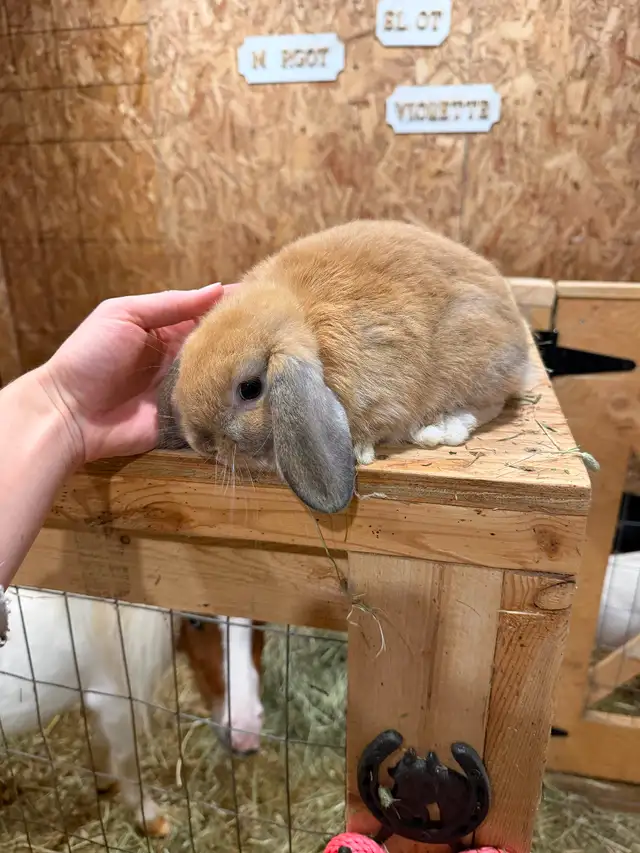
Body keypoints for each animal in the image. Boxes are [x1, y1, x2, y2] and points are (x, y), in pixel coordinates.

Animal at [160, 220, 531, 514]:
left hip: (472, 368)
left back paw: (437, 429)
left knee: (487, 406)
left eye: (250, 389)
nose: (203, 444)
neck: (305, 321)